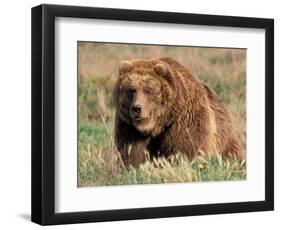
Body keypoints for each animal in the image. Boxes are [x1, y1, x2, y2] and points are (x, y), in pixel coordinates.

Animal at [112, 56, 242, 166]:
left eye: (148, 90)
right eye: (131, 90)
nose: (137, 108)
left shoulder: (185, 119)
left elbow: (187, 149)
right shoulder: (129, 128)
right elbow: (131, 152)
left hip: (224, 138)